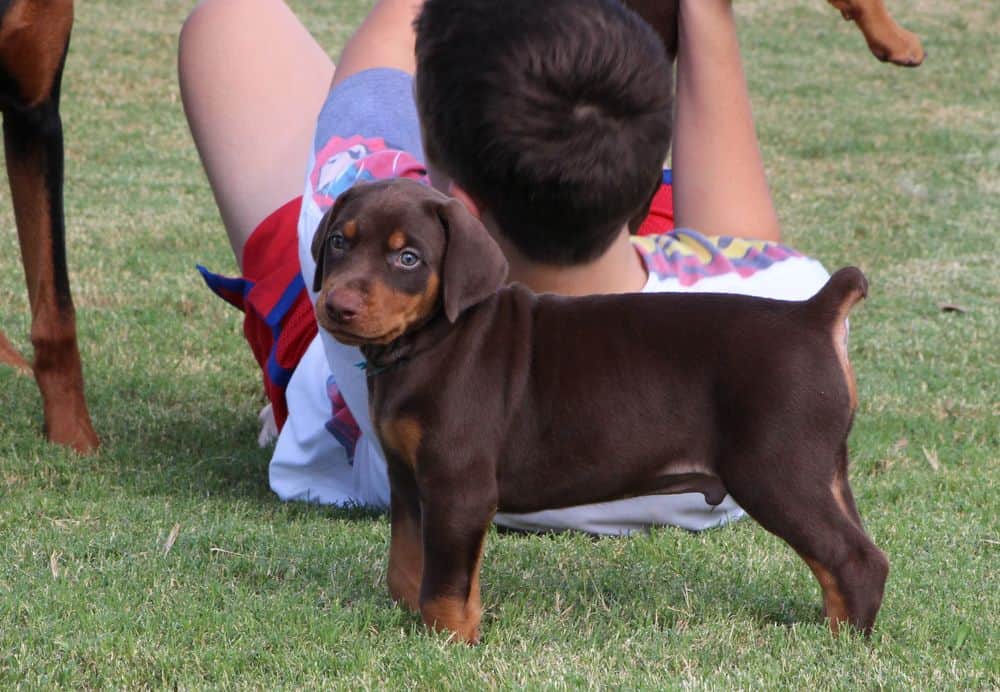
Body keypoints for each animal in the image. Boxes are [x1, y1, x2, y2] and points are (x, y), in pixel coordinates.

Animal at [312, 178, 892, 644]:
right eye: (339, 241)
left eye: (408, 258)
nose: (337, 306)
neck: (429, 341)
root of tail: (813, 314)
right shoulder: (408, 476)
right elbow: (408, 563)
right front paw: (407, 620)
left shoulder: (457, 484)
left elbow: (446, 581)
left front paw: (447, 642)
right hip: (823, 471)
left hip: (775, 471)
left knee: (854, 559)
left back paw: (838, 644)